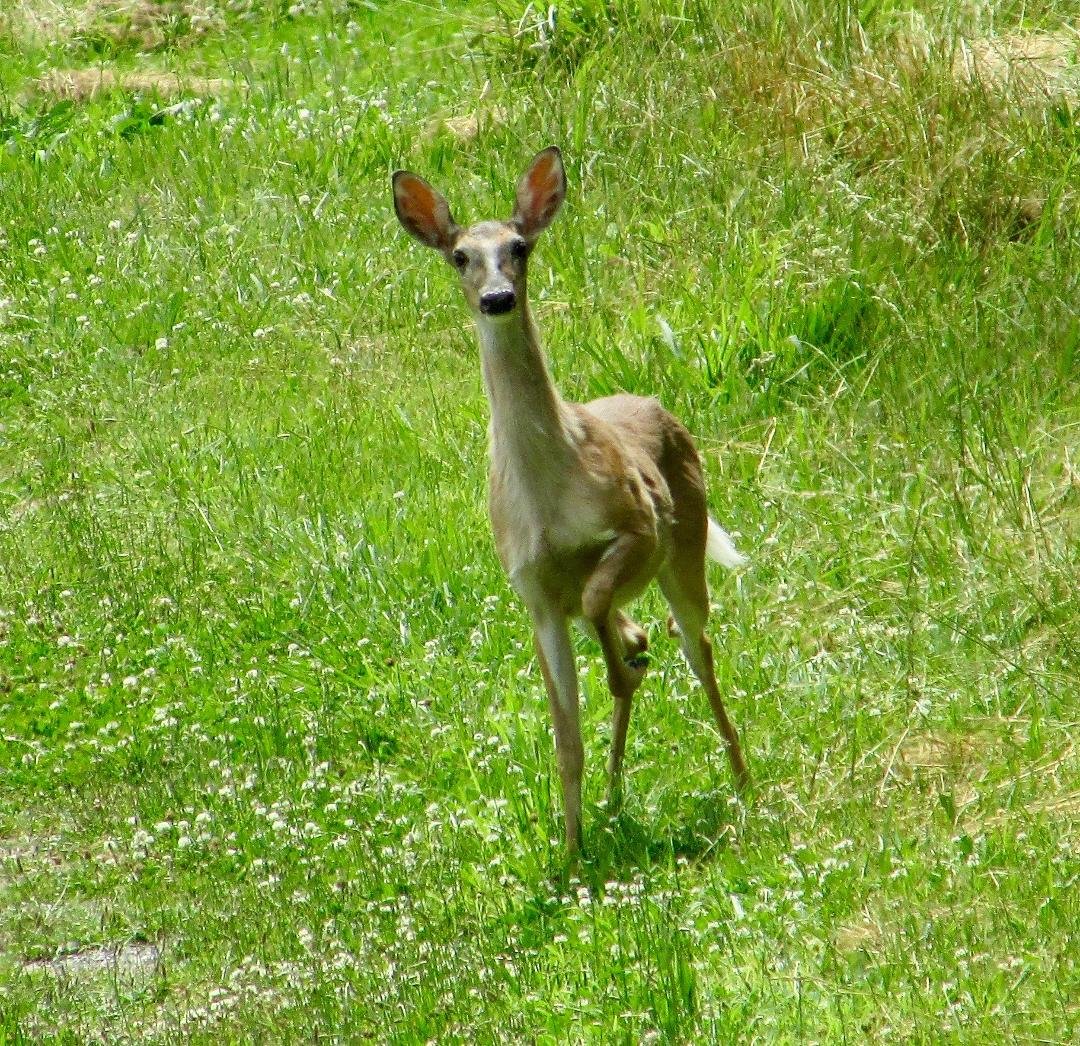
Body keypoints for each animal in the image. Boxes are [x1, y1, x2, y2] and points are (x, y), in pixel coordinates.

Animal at [392, 146, 749, 854]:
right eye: (459, 257)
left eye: (520, 247)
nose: (498, 298)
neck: (547, 494)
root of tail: (659, 407)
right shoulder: (532, 592)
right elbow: (565, 739)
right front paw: (575, 850)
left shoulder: (638, 523)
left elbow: (599, 594)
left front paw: (620, 669)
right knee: (644, 635)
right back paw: (614, 789)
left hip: (685, 543)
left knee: (697, 646)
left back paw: (740, 775)